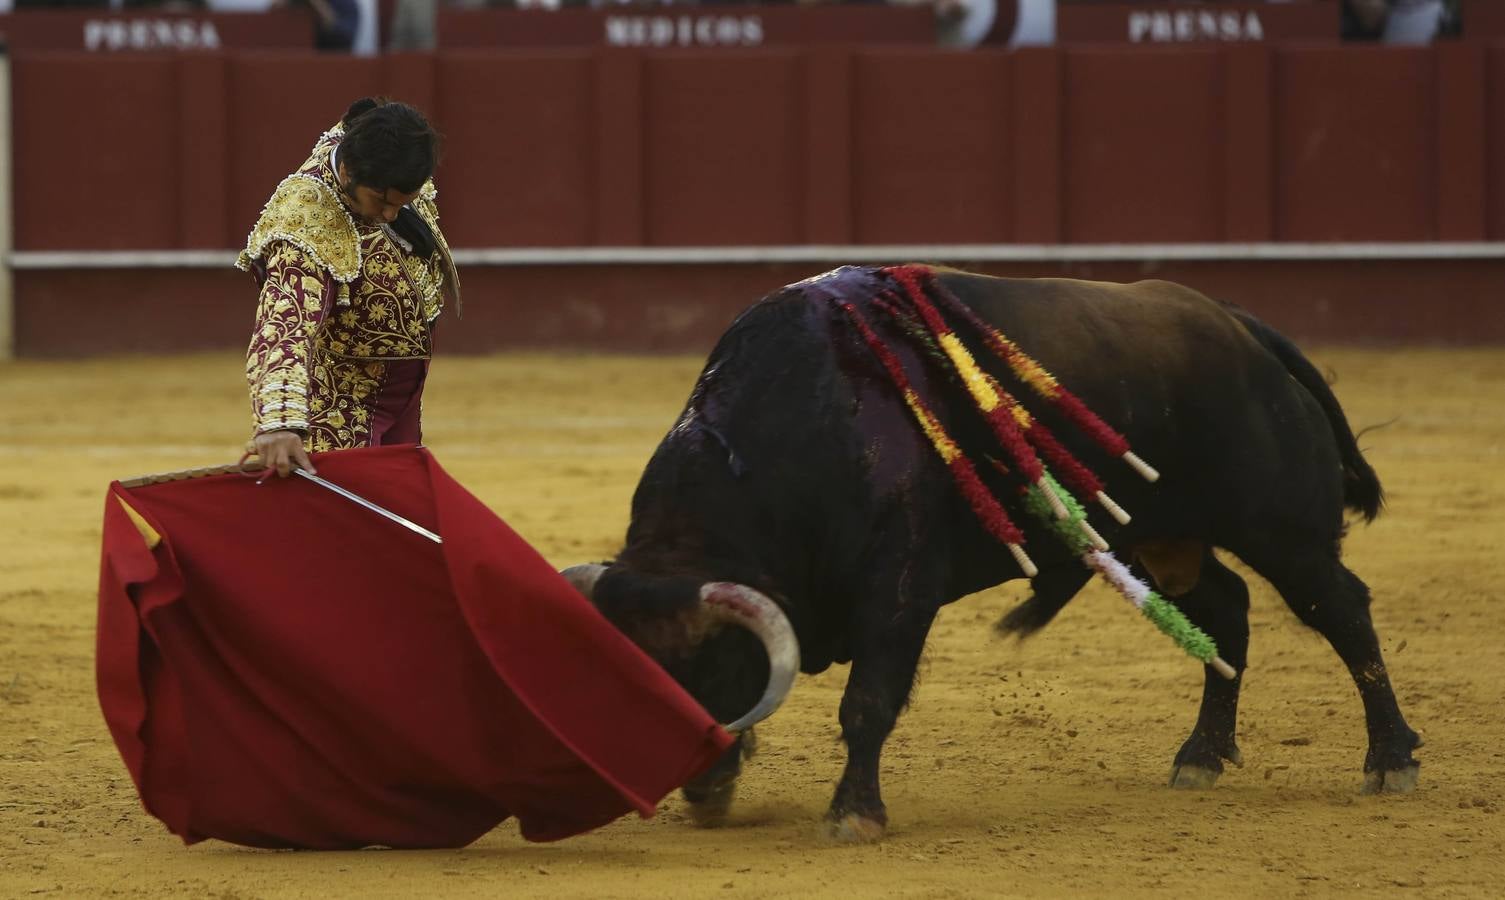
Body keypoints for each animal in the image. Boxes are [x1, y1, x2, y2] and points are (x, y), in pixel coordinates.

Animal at [565, 267, 1420, 848]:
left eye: (710, 670)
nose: (691, 786)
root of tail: (1244, 329)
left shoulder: (899, 587)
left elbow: (867, 701)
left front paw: (853, 814)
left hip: (1282, 531)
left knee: (1341, 611)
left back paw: (1389, 762)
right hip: (1157, 538)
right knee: (1226, 611)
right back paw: (1200, 757)